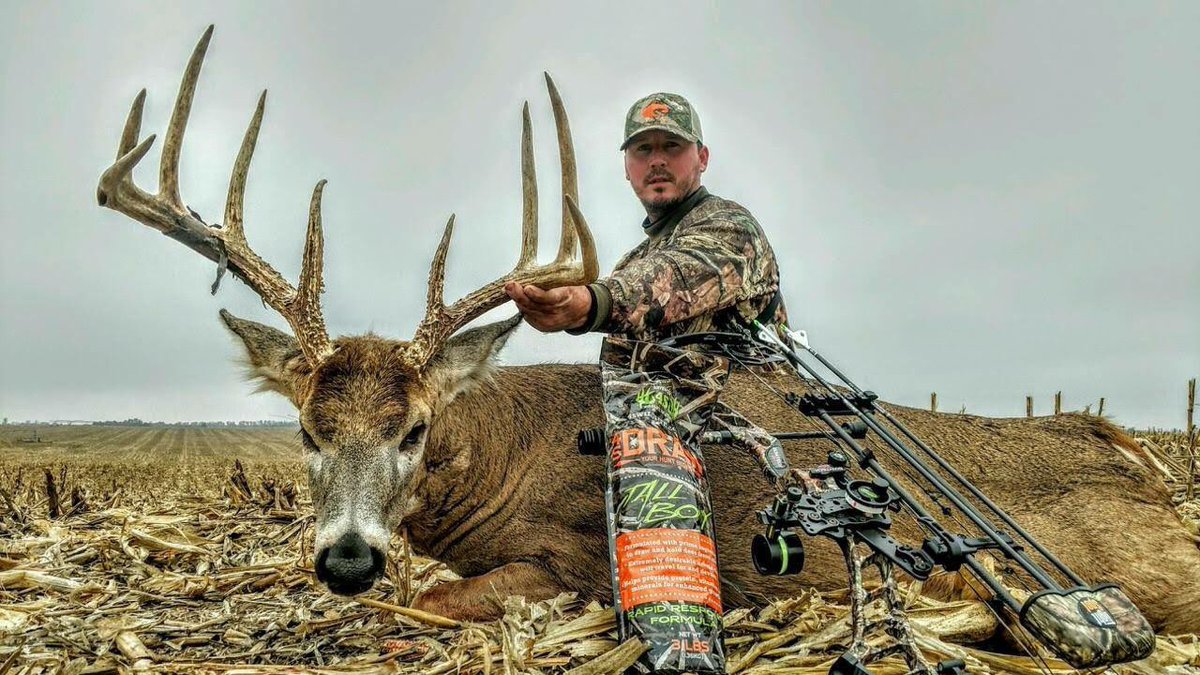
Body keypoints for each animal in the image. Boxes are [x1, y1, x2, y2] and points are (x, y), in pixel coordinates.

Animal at [97, 28, 1200, 639]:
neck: (493, 456)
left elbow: (432, 601)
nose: (348, 560)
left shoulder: (571, 564)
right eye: (307, 431)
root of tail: (1137, 458)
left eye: (413, 429)